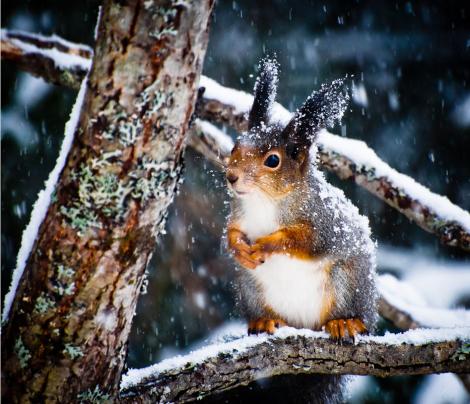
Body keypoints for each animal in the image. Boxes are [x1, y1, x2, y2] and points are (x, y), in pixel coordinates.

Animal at [225, 58, 378, 402]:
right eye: (235, 146)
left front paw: (267, 243)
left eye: (272, 160)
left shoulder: (324, 224)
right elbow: (229, 232)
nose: (231, 176)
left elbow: (303, 241)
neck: (264, 202)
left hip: (347, 283)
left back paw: (345, 323)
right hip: (251, 289)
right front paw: (239, 248)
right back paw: (264, 321)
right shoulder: (238, 214)